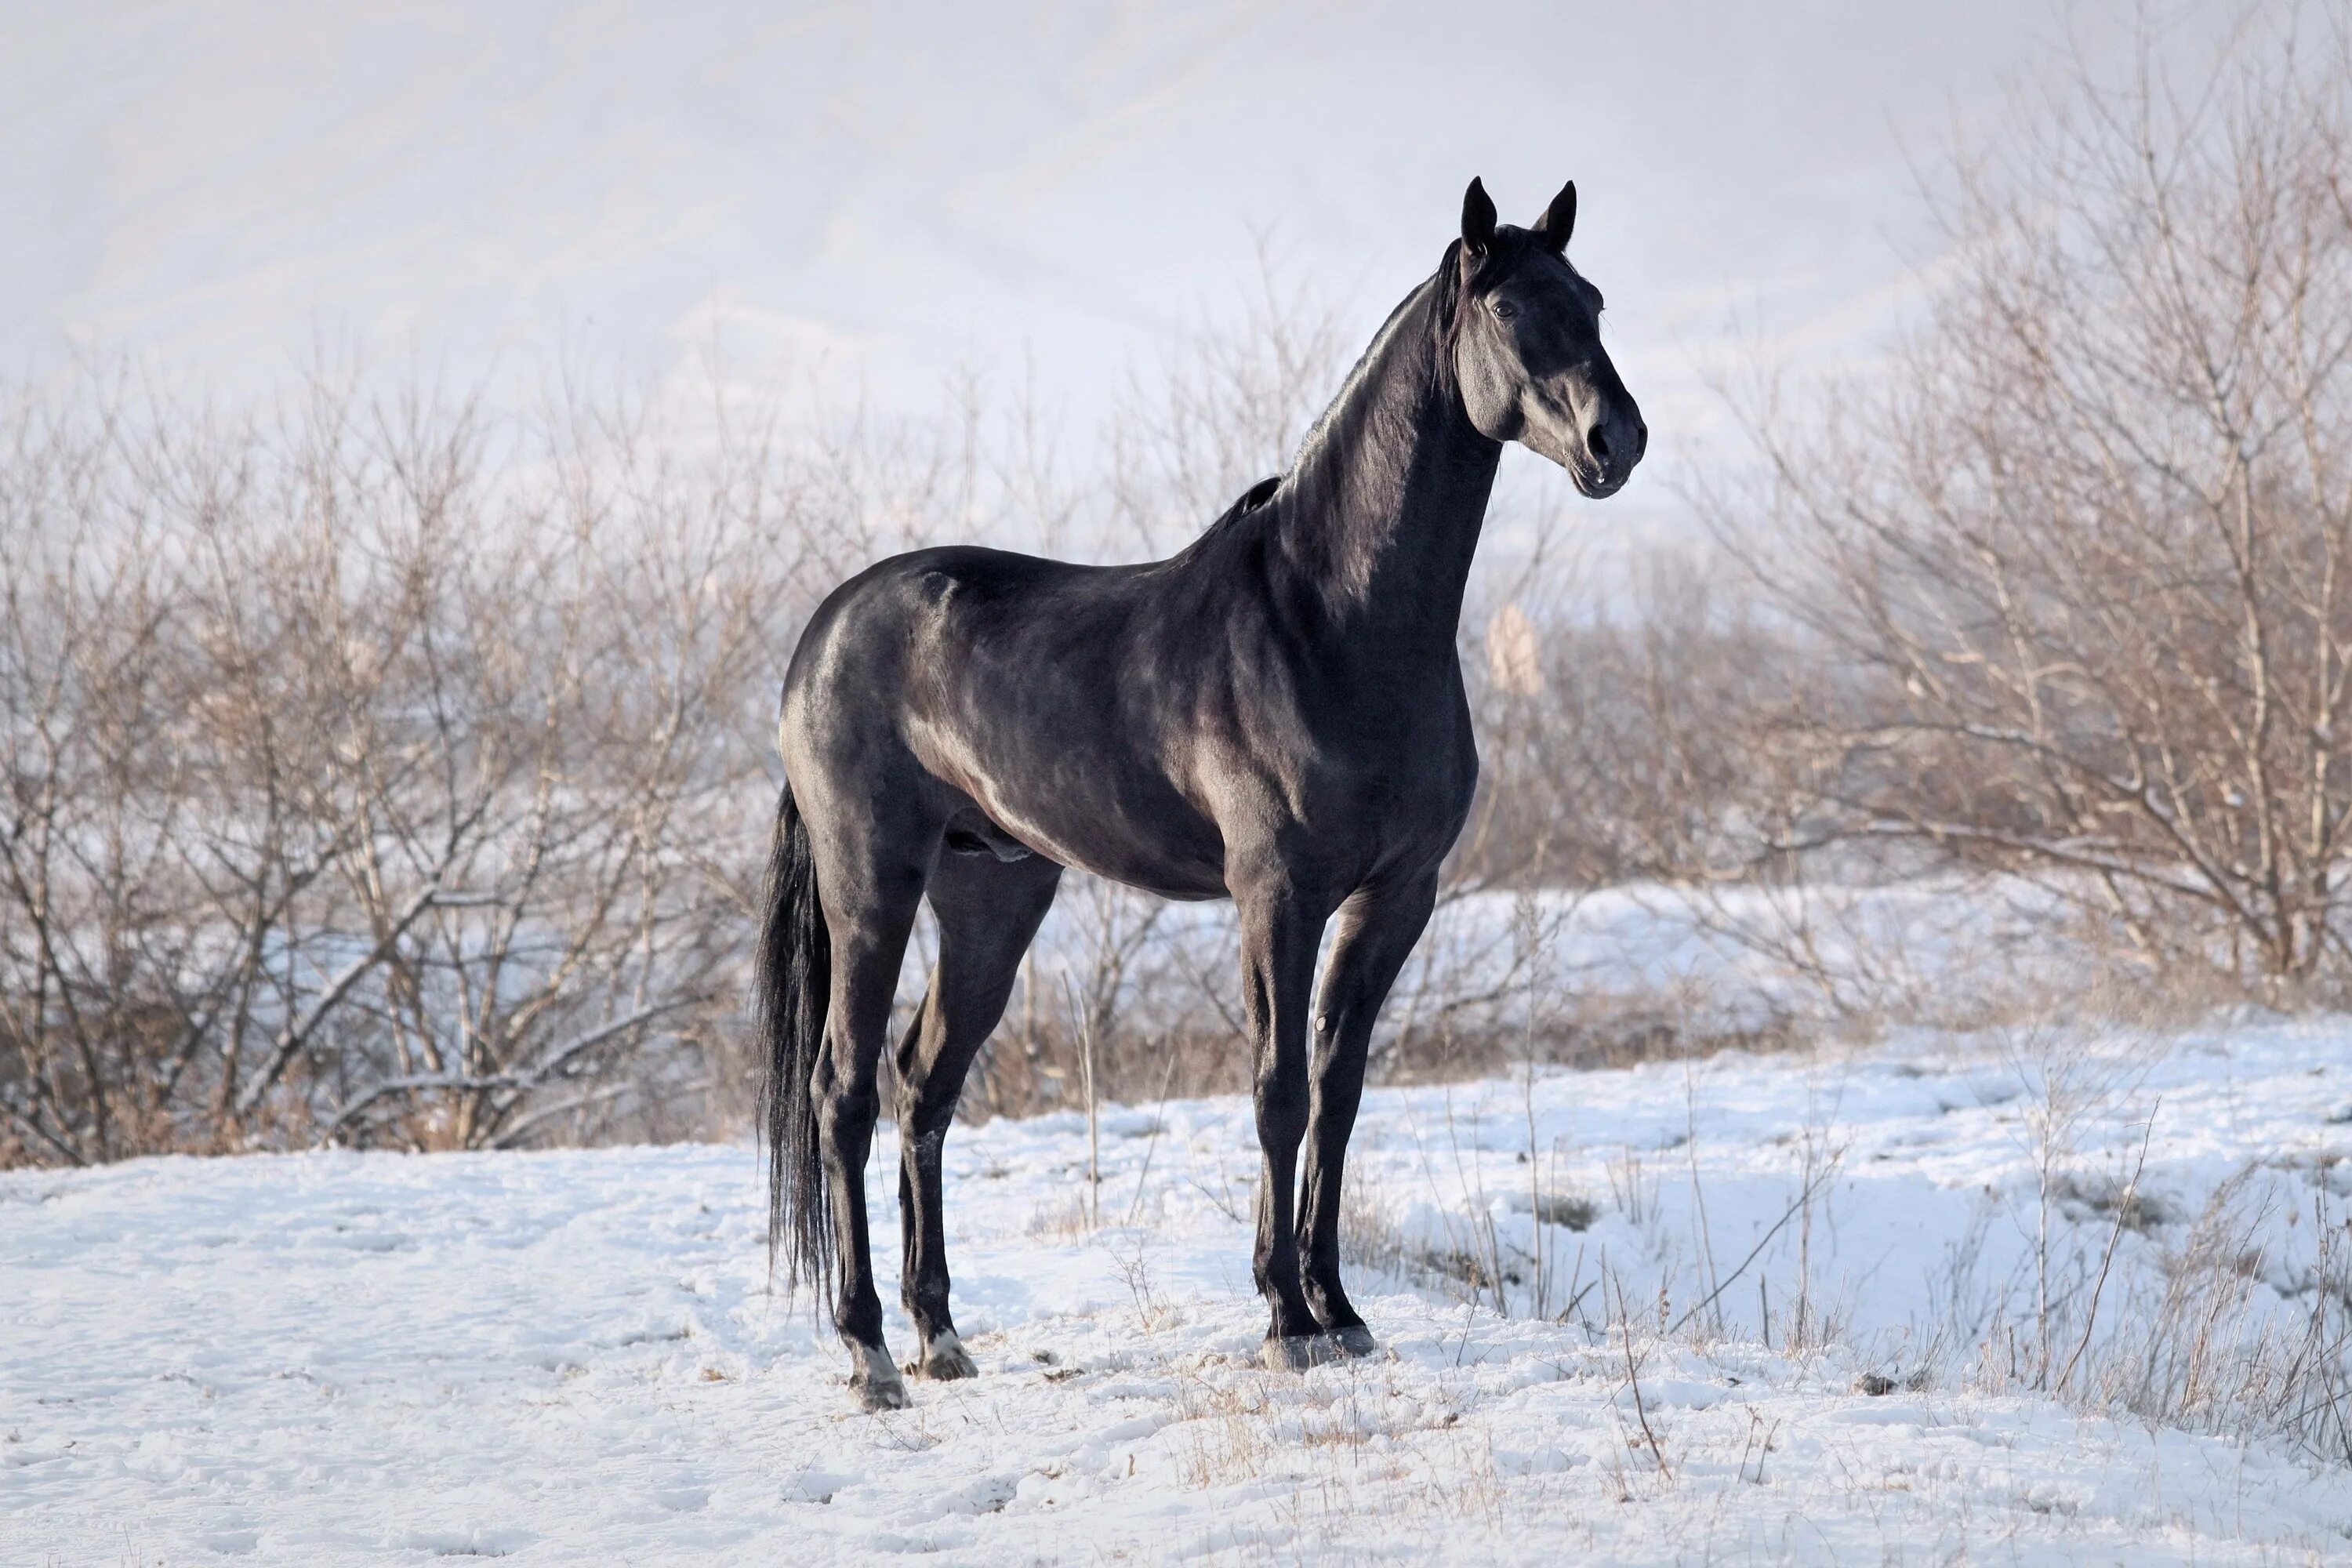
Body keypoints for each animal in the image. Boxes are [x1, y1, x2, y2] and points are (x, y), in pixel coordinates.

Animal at [762, 177, 1646, 1420]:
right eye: (1512, 308)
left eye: (1596, 300)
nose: (1619, 440)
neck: (1333, 620)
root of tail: (826, 630)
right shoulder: (1278, 894)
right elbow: (1278, 1090)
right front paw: (1286, 1321)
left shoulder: (1396, 898)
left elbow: (1339, 1088)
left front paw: (1341, 1309)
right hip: (871, 886)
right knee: (841, 1090)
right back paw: (870, 1351)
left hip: (992, 897)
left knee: (923, 1086)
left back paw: (941, 1336)